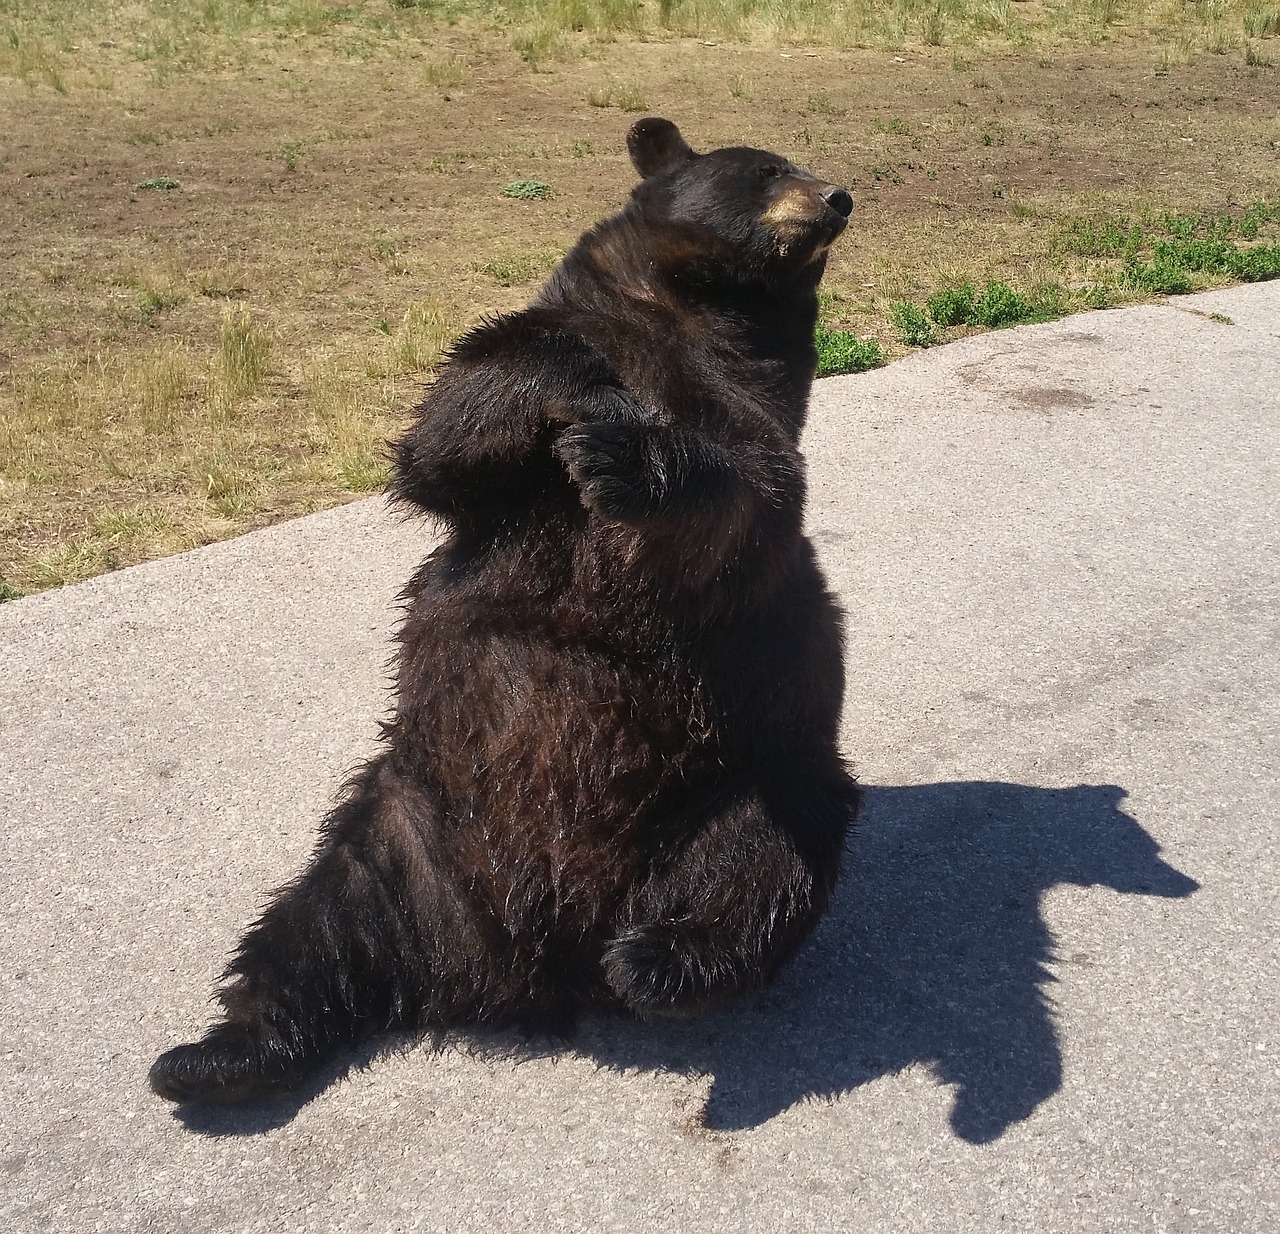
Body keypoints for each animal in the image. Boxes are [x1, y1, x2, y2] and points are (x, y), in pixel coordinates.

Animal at [152, 118, 860, 1100]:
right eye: (766, 168)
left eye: (790, 163)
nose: (840, 196)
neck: (698, 313)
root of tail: (525, 962)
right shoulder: (540, 366)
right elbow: (447, 434)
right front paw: (575, 383)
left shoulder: (753, 408)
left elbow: (745, 496)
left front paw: (624, 453)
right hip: (402, 834)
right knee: (311, 927)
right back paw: (210, 1056)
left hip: (752, 774)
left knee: (763, 865)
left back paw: (656, 959)